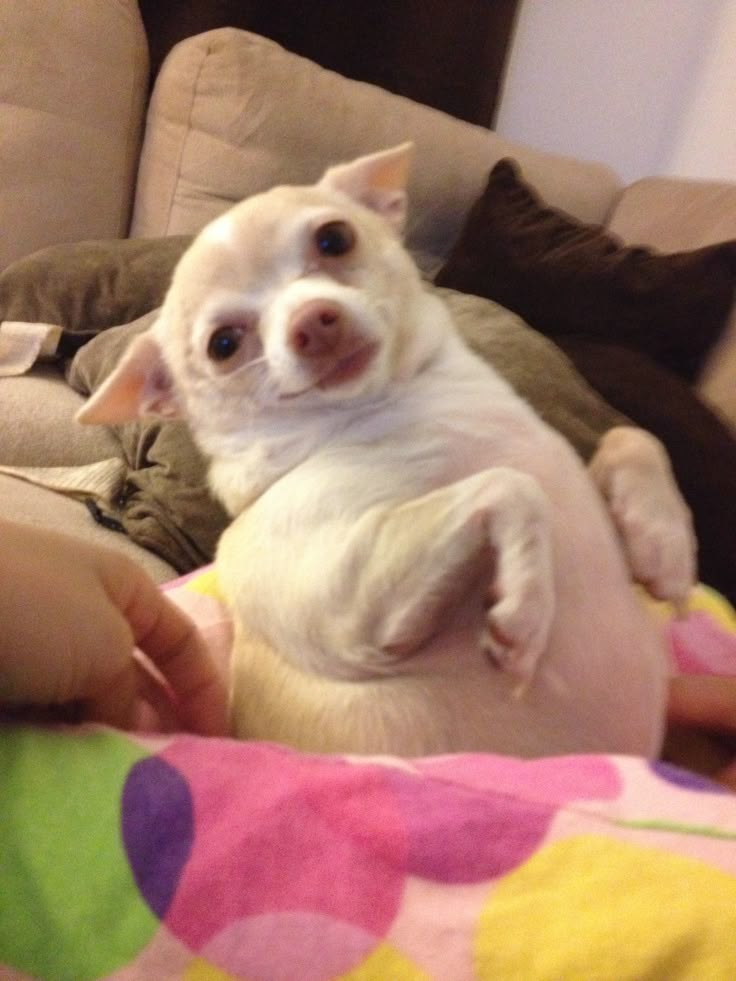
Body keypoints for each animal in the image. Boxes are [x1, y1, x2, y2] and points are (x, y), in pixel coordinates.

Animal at [80, 145, 696, 756]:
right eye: (224, 345)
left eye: (334, 239)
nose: (312, 323)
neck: (395, 400)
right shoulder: (345, 599)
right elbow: (511, 484)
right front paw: (525, 602)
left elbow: (632, 437)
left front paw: (665, 547)